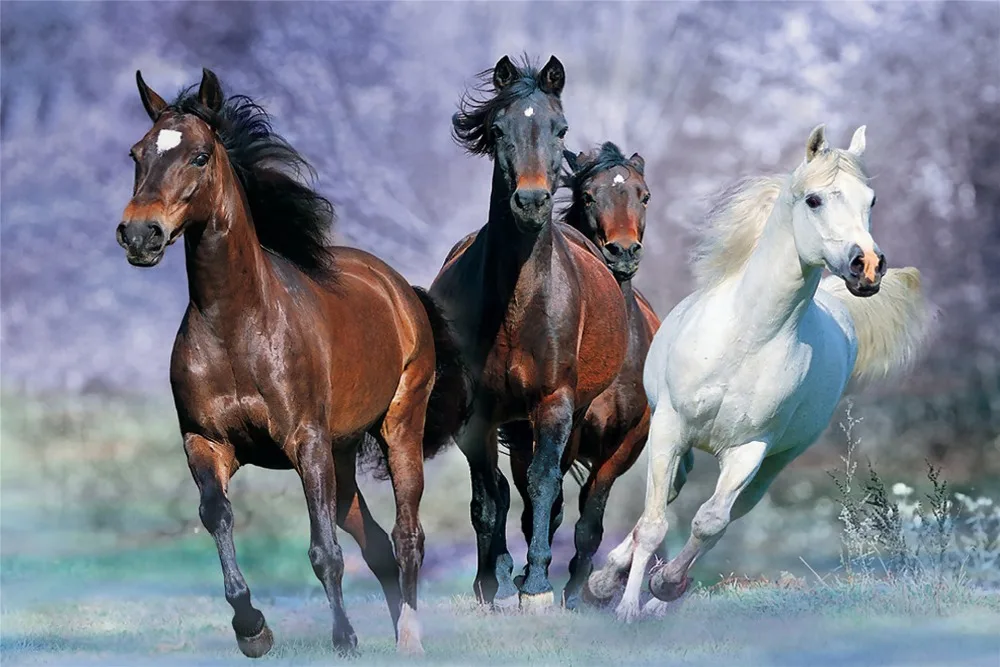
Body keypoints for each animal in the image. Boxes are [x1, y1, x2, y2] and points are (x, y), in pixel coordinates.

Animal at [116, 68, 469, 656]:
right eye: (137, 153)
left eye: (199, 156)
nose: (140, 234)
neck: (237, 328)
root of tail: (401, 290)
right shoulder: (207, 443)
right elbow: (217, 515)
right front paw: (252, 628)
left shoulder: (305, 443)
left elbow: (324, 550)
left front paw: (344, 638)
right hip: (341, 458)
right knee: (377, 544)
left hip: (397, 429)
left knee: (406, 535)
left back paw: (410, 638)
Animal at [429, 55, 630, 609]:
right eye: (499, 129)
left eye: (560, 129)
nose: (533, 201)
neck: (518, 305)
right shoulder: (477, 413)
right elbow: (486, 496)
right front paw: (491, 582)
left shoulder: (554, 401)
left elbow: (542, 484)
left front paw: (537, 585)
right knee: (500, 490)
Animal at [588, 125, 933, 622]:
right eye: (813, 199)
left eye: (871, 200)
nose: (867, 266)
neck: (747, 338)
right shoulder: (670, 427)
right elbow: (653, 524)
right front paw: (626, 607)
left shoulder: (751, 449)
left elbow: (710, 521)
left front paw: (663, 587)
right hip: (676, 443)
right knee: (661, 502)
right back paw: (607, 584)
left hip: (774, 463)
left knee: (727, 514)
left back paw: (656, 596)